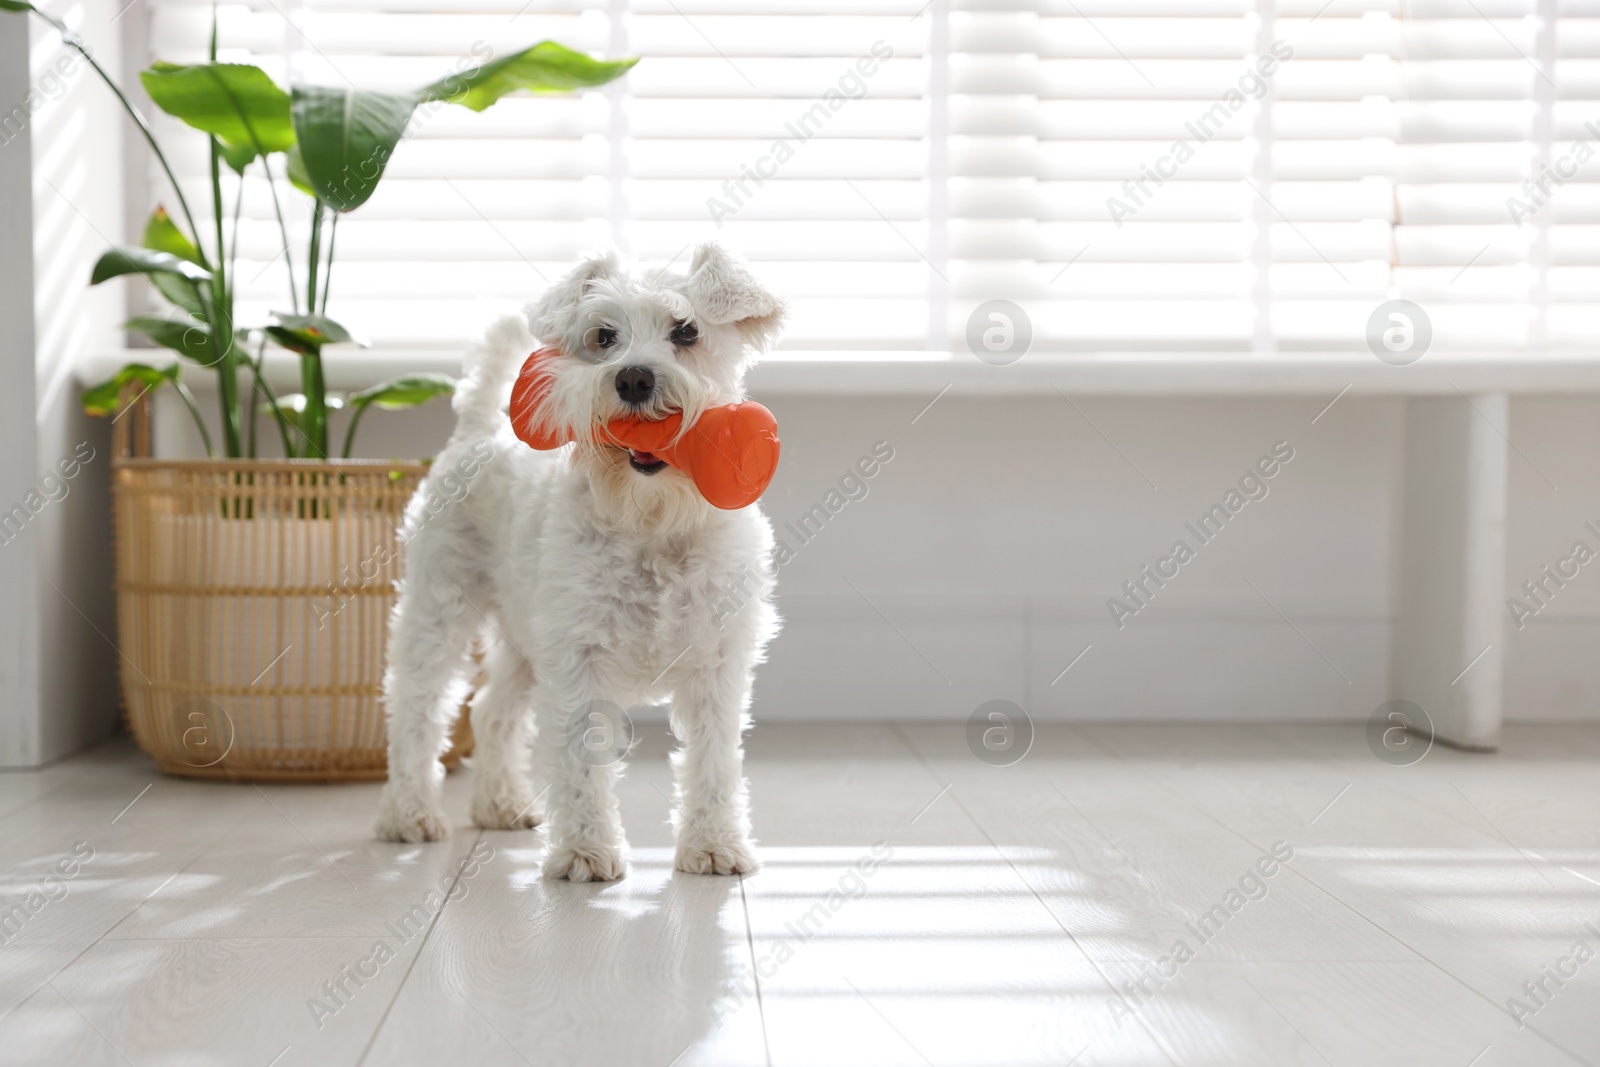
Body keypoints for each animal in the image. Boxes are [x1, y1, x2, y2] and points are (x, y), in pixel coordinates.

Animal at [369, 244, 780, 883]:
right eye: (604, 336)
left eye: (686, 331)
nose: (634, 378)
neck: (651, 521)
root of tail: (478, 433)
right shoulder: (578, 658)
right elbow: (582, 762)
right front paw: (586, 852)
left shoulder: (717, 661)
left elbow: (713, 760)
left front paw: (714, 846)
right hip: (438, 613)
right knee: (418, 708)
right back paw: (408, 815)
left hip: (522, 640)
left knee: (490, 712)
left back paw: (502, 805)